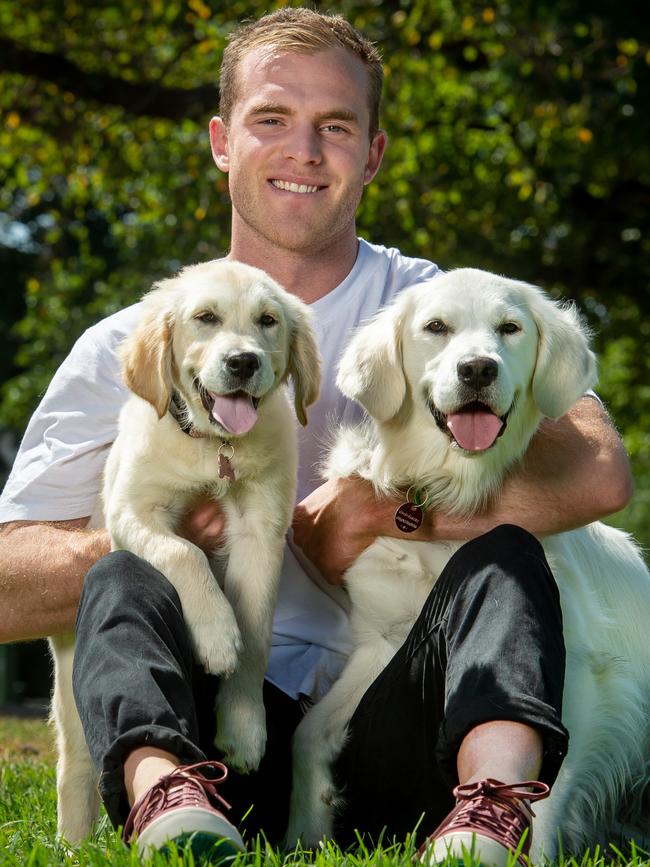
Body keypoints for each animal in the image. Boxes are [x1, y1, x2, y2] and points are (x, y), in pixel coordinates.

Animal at [51, 258, 322, 840]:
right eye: (205, 318)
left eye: (268, 321)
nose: (242, 362)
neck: (214, 446)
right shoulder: (132, 510)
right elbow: (184, 554)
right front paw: (216, 634)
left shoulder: (261, 529)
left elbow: (256, 635)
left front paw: (244, 729)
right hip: (67, 686)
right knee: (75, 766)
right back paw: (73, 845)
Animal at [286, 272, 648, 860]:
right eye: (436, 327)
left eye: (510, 328)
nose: (478, 368)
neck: (453, 490)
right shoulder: (379, 644)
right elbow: (308, 735)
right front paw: (302, 834)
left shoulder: (586, 673)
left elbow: (546, 788)